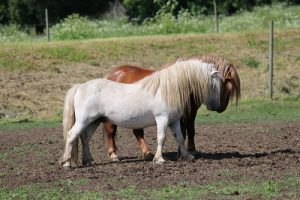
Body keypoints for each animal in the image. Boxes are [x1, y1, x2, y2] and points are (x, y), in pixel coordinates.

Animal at [59, 58, 223, 168]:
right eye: (214, 85)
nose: (216, 107)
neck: (167, 89)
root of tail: (80, 86)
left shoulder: (174, 120)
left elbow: (180, 138)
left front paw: (188, 156)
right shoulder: (162, 119)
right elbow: (161, 138)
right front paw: (159, 159)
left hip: (95, 121)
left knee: (85, 138)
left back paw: (89, 160)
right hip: (84, 120)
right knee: (72, 136)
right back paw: (66, 163)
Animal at [104, 54, 240, 161]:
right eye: (223, 86)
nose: (220, 108)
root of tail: (111, 74)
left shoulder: (190, 112)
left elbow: (190, 131)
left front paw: (190, 150)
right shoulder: (181, 114)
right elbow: (183, 132)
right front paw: (180, 153)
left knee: (137, 132)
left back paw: (147, 153)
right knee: (111, 132)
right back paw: (113, 154)